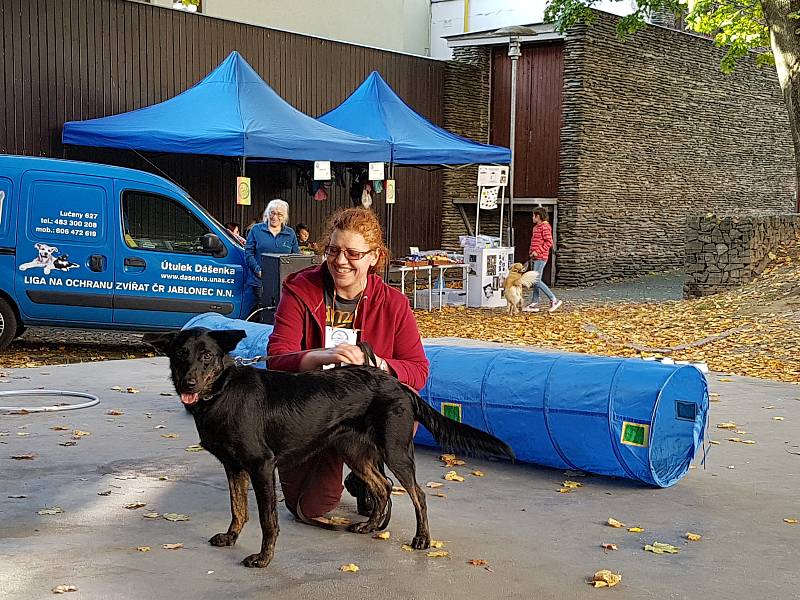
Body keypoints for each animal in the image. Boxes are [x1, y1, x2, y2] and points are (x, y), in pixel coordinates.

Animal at [145, 328, 516, 568]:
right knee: (382, 486)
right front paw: (230, 537)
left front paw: (264, 558)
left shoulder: (262, 466)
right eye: (180, 356)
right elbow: (239, 509)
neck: (222, 394)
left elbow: (266, 518)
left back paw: (422, 539)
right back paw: (370, 526)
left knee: (417, 493)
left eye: (207, 356)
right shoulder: (233, 466)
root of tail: (396, 383)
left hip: (395, 450)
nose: (189, 384)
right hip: (354, 450)